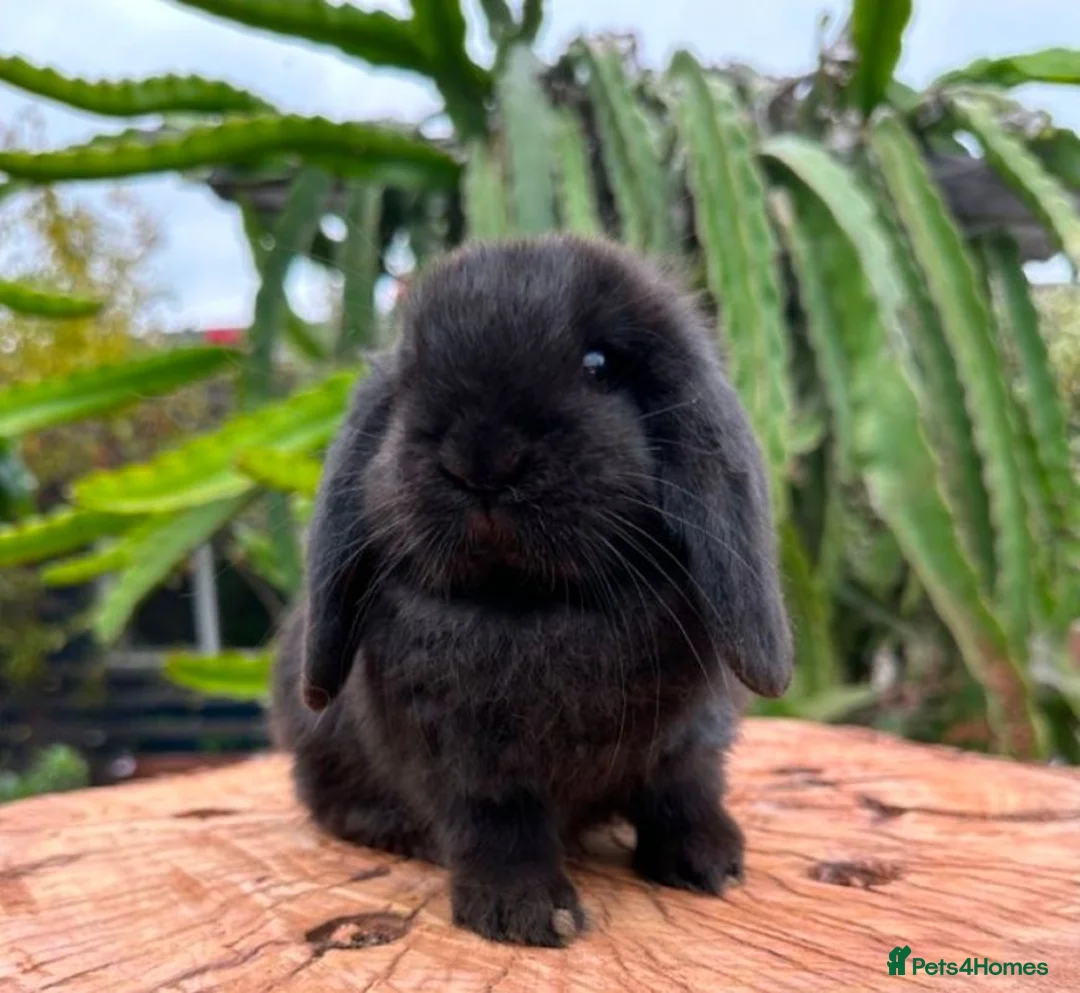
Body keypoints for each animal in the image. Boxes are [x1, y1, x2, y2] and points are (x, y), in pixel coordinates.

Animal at [271, 234, 793, 947]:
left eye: (599, 365)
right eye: (409, 381)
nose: (481, 459)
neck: (528, 608)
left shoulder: (689, 740)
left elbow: (684, 794)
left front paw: (713, 864)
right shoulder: (467, 767)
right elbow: (498, 831)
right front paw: (526, 914)